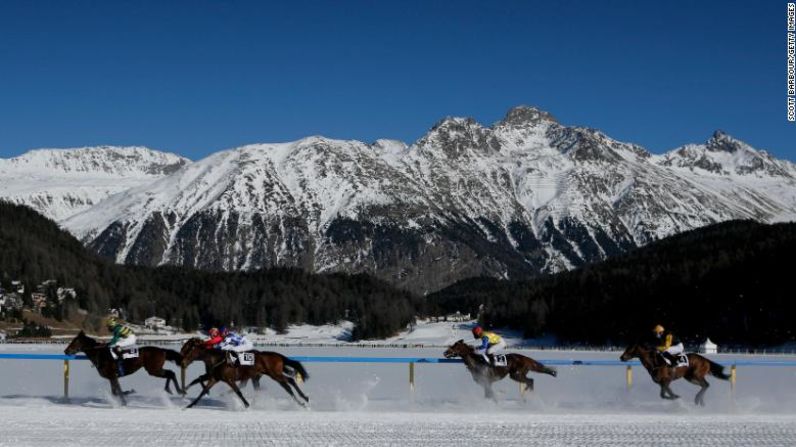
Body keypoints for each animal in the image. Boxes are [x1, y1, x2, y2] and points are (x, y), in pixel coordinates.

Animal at [180, 340, 310, 410]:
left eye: (188, 349)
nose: (183, 361)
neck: (217, 359)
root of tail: (279, 356)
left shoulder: (229, 379)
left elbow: (238, 392)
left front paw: (247, 405)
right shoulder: (214, 378)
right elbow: (202, 390)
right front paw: (190, 404)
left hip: (275, 374)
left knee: (289, 383)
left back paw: (303, 400)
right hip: (265, 376)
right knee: (288, 383)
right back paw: (302, 400)